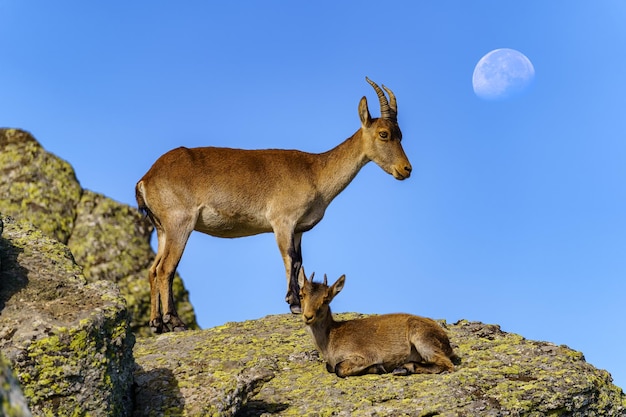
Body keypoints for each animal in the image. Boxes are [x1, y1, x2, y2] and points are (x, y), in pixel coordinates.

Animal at [135, 78, 410, 332]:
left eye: (401, 134)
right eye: (384, 134)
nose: (406, 169)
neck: (315, 172)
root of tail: (146, 179)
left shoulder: (298, 229)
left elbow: (299, 261)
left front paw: (297, 301)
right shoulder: (282, 222)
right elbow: (290, 258)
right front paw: (293, 303)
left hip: (162, 229)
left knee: (152, 269)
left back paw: (156, 323)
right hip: (179, 222)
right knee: (166, 269)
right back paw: (175, 322)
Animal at [298, 268, 454, 376]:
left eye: (326, 299)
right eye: (301, 294)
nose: (308, 316)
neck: (331, 339)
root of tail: (446, 341)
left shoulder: (366, 355)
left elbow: (338, 368)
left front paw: (378, 367)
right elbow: (330, 367)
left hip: (422, 338)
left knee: (447, 364)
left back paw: (404, 368)